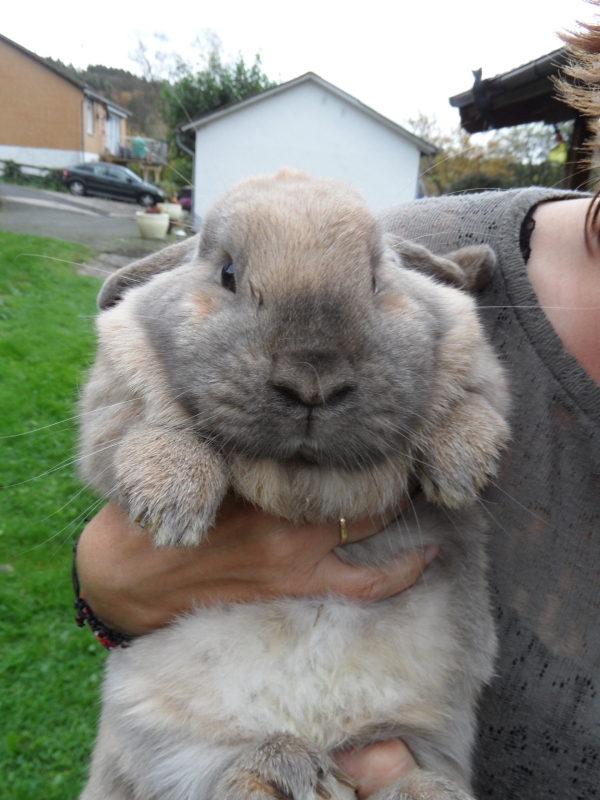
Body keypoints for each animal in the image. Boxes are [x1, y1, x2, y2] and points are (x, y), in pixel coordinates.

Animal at [78, 169, 510, 800]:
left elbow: (474, 401)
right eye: (227, 273)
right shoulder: (110, 403)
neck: (303, 485)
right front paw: (170, 501)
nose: (313, 379)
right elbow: (139, 428)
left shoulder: (479, 371)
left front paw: (463, 466)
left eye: (377, 278)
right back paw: (279, 770)